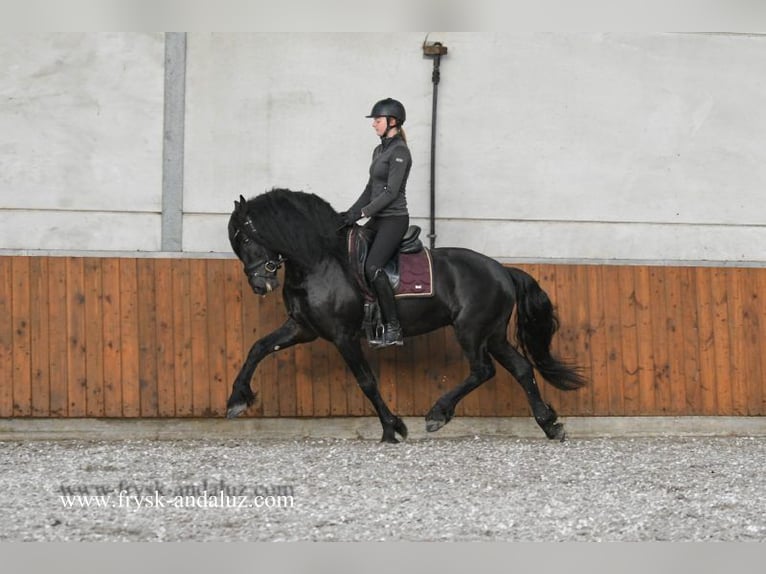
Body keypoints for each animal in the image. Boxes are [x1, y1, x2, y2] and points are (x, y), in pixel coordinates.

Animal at [226, 188, 586, 443]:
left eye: (244, 238)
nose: (260, 285)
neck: (320, 260)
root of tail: (502, 270)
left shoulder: (343, 336)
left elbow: (366, 381)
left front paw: (392, 428)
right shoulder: (302, 328)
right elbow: (258, 348)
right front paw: (236, 400)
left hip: (470, 330)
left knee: (482, 370)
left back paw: (438, 414)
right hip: (493, 334)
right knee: (522, 369)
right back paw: (550, 425)